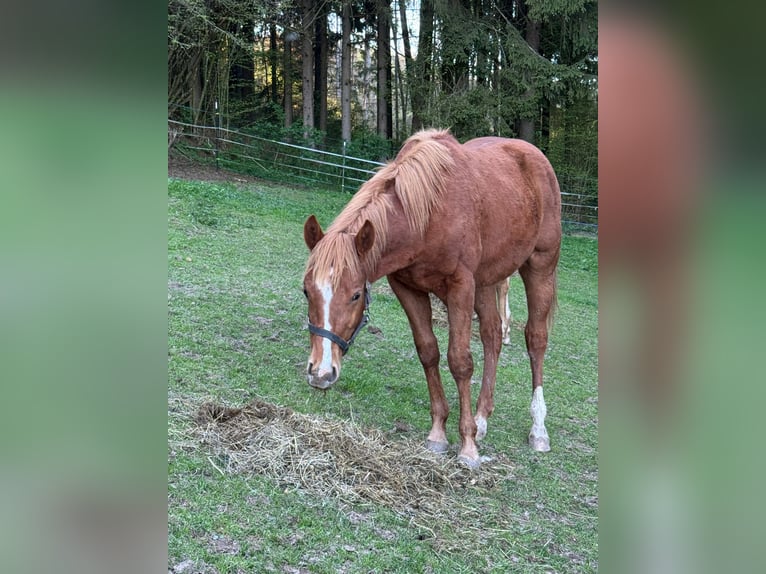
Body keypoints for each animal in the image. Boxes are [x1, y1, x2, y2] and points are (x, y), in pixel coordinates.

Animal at [302, 129, 561, 468]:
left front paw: (467, 446)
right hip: (487, 281)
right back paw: (482, 419)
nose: (320, 373)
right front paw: (439, 433)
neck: (426, 217)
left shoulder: (460, 286)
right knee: (491, 335)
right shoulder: (407, 287)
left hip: (540, 266)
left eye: (356, 294)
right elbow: (428, 352)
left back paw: (538, 429)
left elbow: (460, 361)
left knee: (536, 340)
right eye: (306, 290)